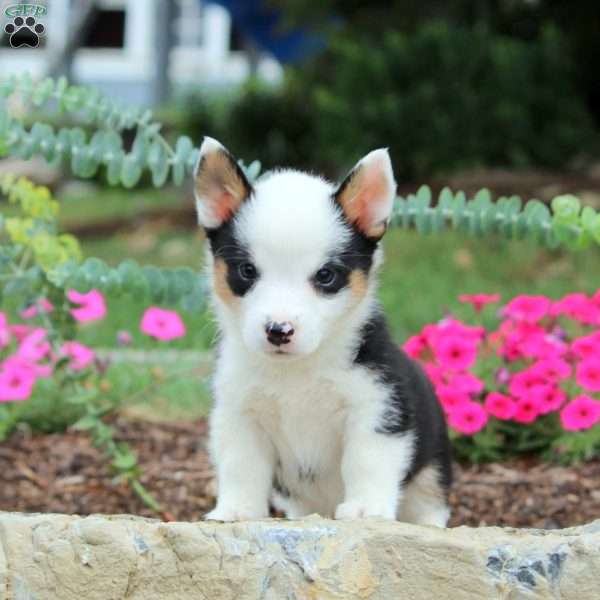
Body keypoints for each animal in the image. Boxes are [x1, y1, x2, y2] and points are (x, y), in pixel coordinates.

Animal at [195, 137, 452, 524]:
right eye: (247, 271)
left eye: (325, 275)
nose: (278, 330)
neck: (296, 371)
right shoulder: (240, 415)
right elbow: (241, 466)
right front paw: (237, 510)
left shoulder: (376, 407)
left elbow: (366, 461)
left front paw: (365, 508)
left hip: (430, 475)